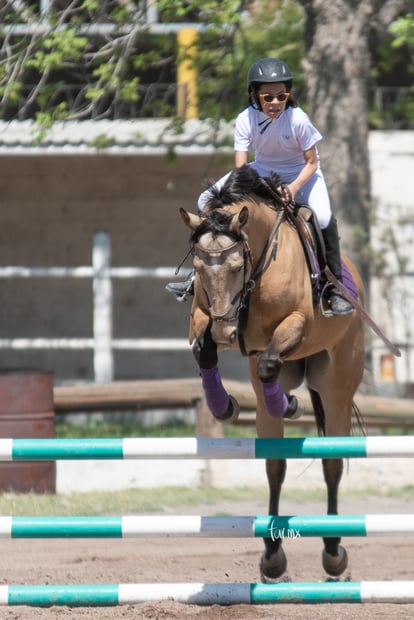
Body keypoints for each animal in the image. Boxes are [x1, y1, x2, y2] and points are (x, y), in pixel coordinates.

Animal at [180, 165, 366, 580]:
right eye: (197, 268)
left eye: (236, 267)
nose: (226, 332)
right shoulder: (202, 315)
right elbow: (204, 353)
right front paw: (224, 406)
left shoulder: (296, 324)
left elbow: (267, 361)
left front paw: (291, 406)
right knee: (275, 464)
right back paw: (272, 556)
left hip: (336, 383)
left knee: (332, 462)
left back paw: (334, 554)